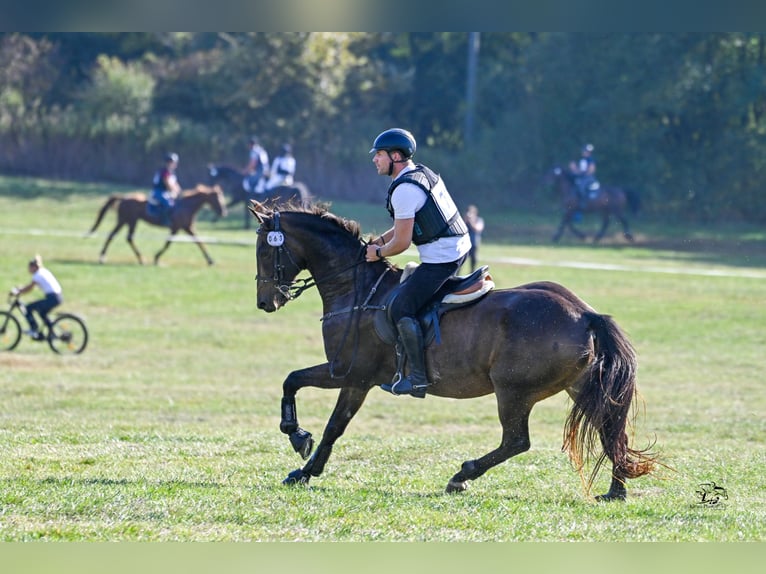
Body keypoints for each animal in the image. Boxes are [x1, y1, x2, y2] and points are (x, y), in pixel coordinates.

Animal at [88, 184, 228, 266]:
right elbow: (168, 243)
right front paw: (156, 258)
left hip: (125, 221)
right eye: (217, 198)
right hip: (130, 221)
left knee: (116, 236)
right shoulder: (176, 228)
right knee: (125, 237)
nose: (223, 212)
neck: (185, 206)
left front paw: (210, 260)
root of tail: (124, 198)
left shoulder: (188, 228)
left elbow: (199, 242)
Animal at [252, 200, 660, 502]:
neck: (358, 289)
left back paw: (461, 475)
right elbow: (313, 403)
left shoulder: (351, 372)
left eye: (265, 250)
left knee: (517, 441)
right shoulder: (353, 377)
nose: (265, 302)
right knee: (611, 433)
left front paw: (300, 450)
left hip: (513, 390)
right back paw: (616, 491)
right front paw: (304, 457)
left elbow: (317, 407)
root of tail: (586, 314)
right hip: (580, 387)